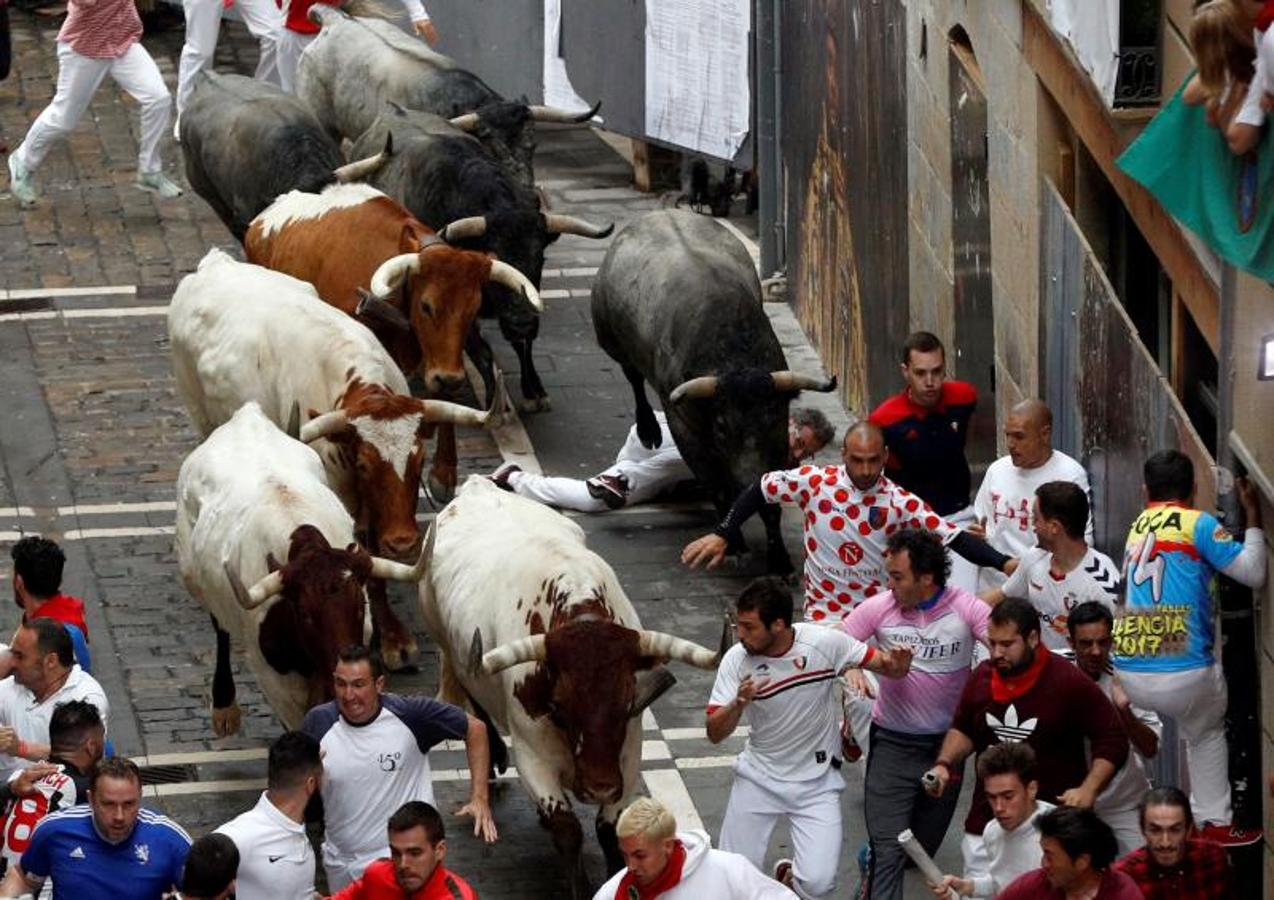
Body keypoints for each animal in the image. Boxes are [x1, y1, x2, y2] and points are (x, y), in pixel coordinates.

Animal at [346, 104, 608, 410]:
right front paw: (495, 404)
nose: (522, 323)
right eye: (492, 261)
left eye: (540, 260)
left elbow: (522, 346)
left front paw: (534, 390)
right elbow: (481, 352)